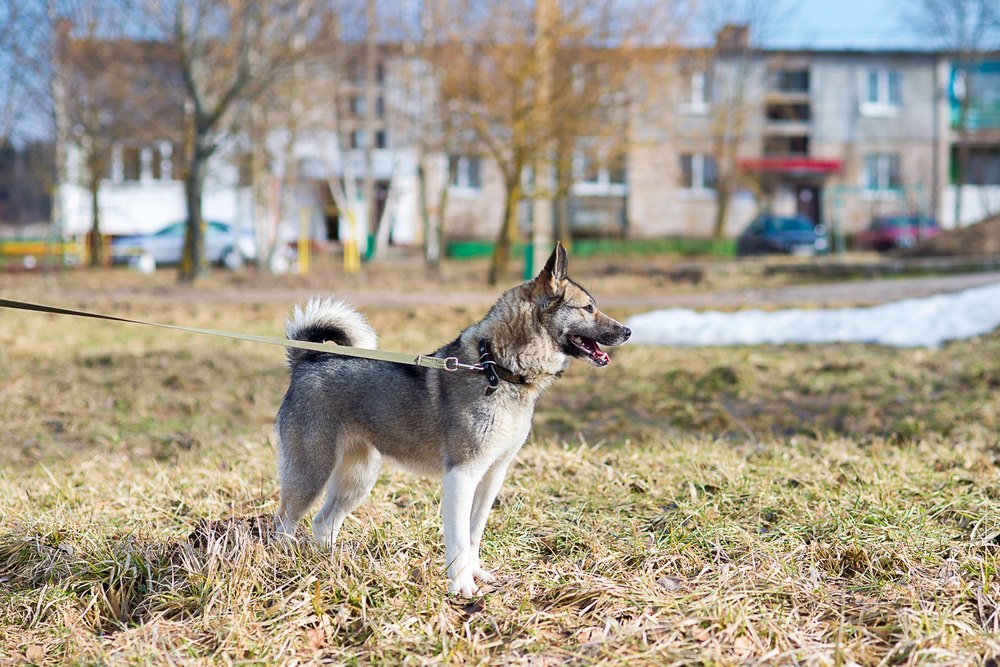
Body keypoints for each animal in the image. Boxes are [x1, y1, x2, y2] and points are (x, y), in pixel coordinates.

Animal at [274, 243, 628, 596]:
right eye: (588, 308)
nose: (627, 331)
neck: (496, 368)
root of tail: (306, 359)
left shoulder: (493, 475)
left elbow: (473, 535)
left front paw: (476, 574)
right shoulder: (462, 475)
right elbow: (458, 538)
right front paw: (462, 587)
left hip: (357, 479)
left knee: (323, 522)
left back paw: (332, 567)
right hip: (312, 472)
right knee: (283, 524)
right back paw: (286, 567)